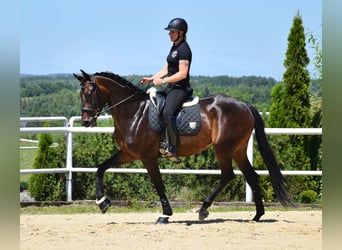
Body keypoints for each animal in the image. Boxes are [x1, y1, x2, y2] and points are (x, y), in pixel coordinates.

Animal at [73, 69, 292, 223]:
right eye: (80, 94)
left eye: (91, 92)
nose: (86, 121)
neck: (134, 112)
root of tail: (245, 105)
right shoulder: (128, 154)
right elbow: (101, 168)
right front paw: (102, 202)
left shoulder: (148, 157)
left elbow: (158, 184)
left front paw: (165, 215)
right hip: (237, 150)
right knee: (251, 176)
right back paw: (257, 215)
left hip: (223, 148)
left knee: (228, 175)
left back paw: (204, 209)